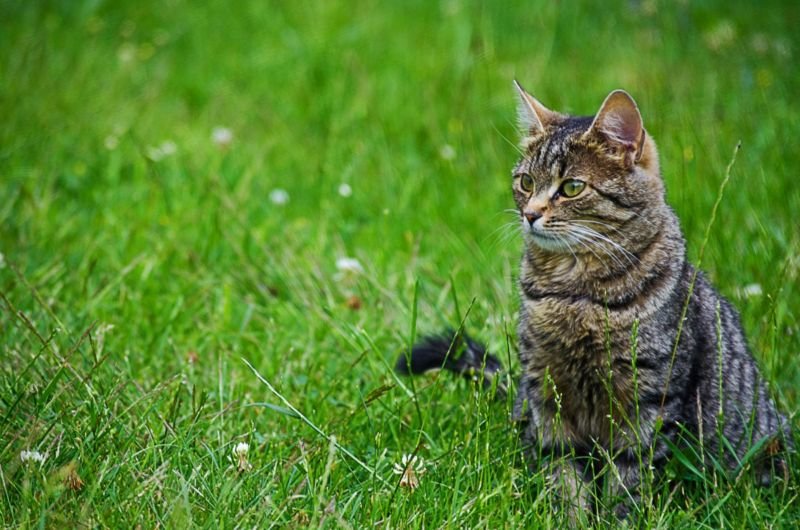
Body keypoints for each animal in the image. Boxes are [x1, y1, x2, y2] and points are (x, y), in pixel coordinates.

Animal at [396, 82, 792, 516]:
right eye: (526, 182)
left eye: (572, 187)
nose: (530, 214)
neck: (574, 295)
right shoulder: (547, 393)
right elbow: (564, 473)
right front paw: (569, 517)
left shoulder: (647, 400)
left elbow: (628, 478)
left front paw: (618, 518)